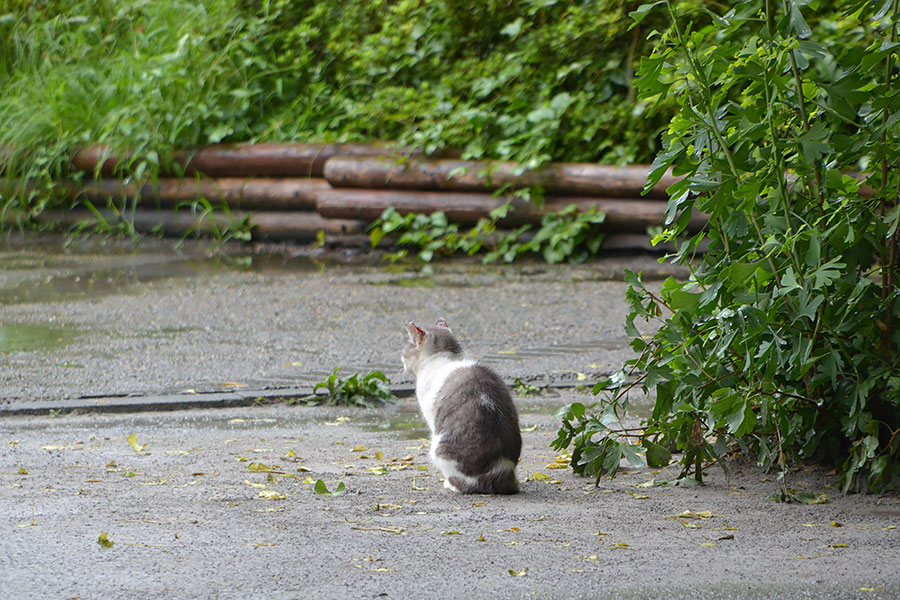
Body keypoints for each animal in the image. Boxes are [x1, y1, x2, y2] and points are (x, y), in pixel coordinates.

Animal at [400, 316, 520, 494]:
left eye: (405, 351)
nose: (402, 363)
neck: (447, 358)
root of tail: (499, 473)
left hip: (438, 447)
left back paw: (450, 484)